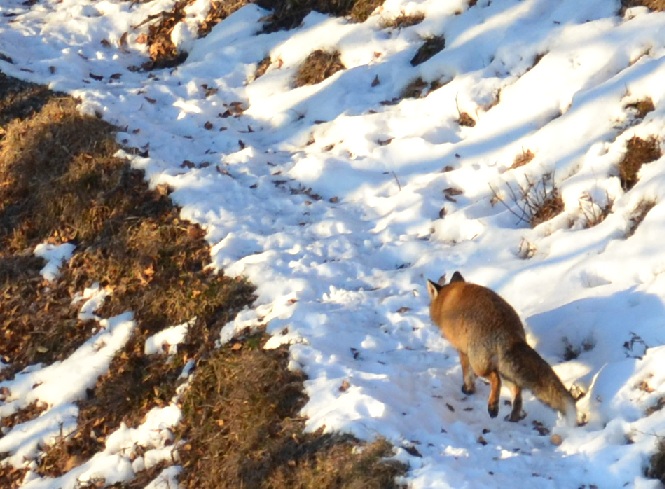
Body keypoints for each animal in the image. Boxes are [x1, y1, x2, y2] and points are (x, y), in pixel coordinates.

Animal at [428, 270, 572, 424]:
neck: (445, 299)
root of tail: (507, 331)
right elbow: (471, 375)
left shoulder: (463, 352)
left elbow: (467, 373)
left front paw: (468, 389)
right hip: (505, 368)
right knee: (517, 390)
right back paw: (513, 416)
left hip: (481, 364)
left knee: (496, 380)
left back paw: (493, 408)